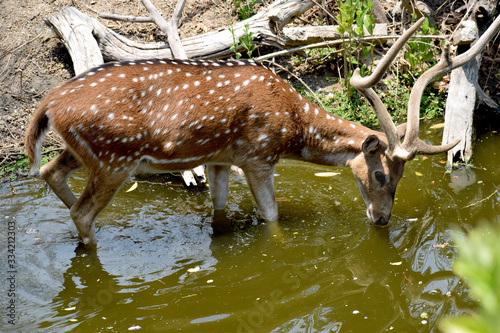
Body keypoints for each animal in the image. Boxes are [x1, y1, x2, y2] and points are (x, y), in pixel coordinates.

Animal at [24, 16, 496, 244]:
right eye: (380, 174)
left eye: (400, 178)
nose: (381, 219)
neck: (292, 126)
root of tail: (48, 103)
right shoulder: (256, 155)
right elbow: (271, 216)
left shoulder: (218, 157)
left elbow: (218, 210)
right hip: (113, 158)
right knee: (80, 210)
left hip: (83, 151)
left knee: (49, 173)